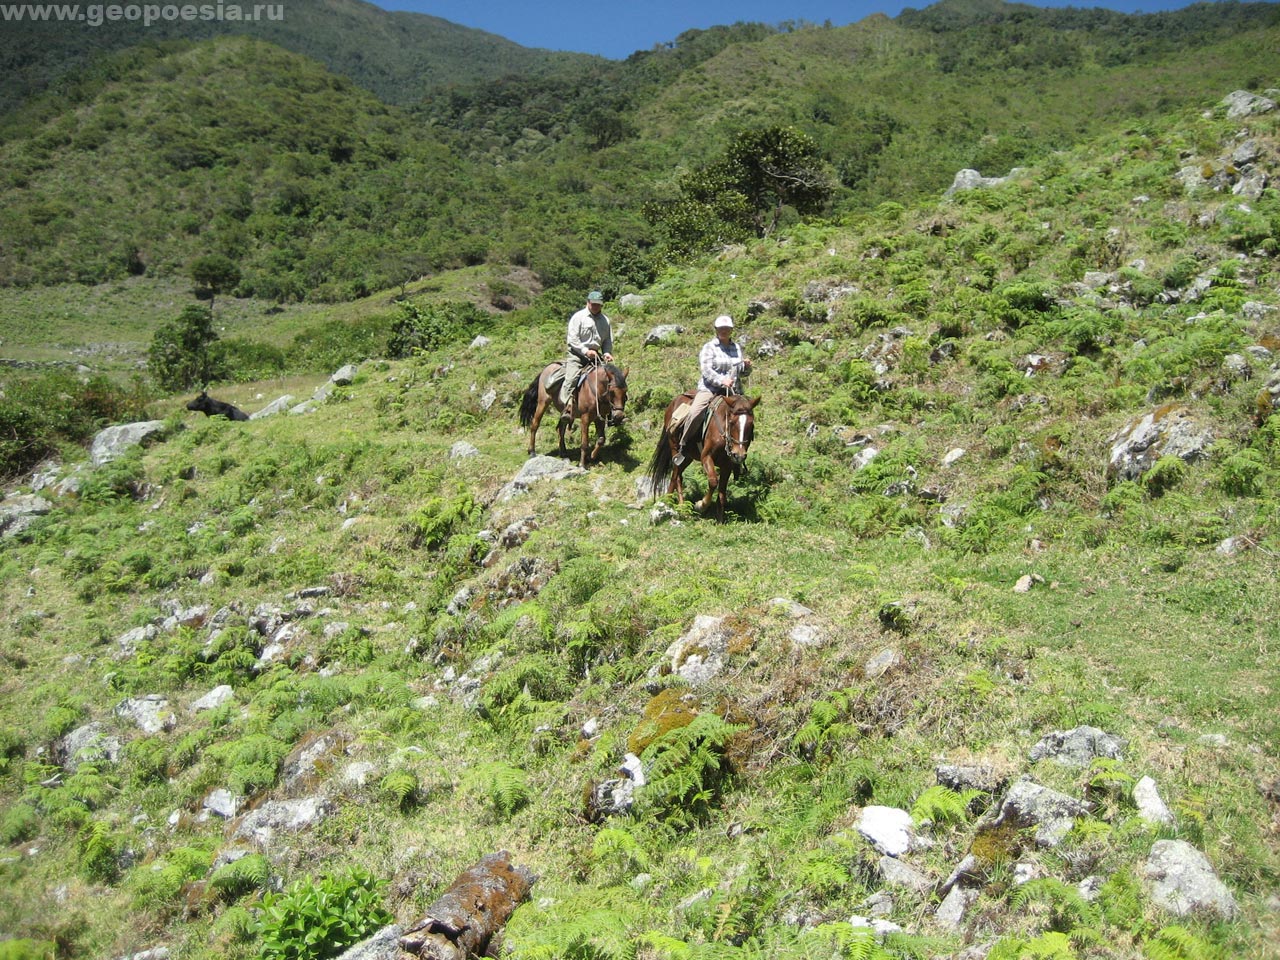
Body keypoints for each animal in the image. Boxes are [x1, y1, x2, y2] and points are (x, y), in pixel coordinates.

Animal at [650, 391, 757, 527]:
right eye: (732, 422)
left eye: (751, 424)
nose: (739, 455)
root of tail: (672, 403)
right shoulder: (706, 457)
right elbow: (713, 482)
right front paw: (701, 505)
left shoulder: (727, 465)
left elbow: (722, 493)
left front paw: (720, 520)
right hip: (676, 450)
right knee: (675, 476)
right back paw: (676, 505)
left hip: (688, 457)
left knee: (678, 475)